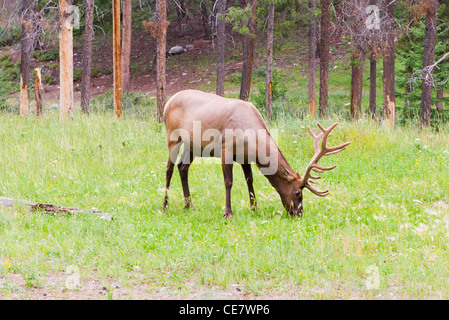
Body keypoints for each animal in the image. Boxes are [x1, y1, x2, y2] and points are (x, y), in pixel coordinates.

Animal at [161, 89, 350, 218]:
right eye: (298, 192)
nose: (299, 213)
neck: (251, 140)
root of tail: (168, 102)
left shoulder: (245, 157)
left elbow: (249, 180)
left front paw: (254, 207)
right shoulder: (226, 150)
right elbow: (228, 182)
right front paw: (228, 212)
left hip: (192, 145)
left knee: (183, 167)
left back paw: (189, 205)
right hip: (173, 137)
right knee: (169, 169)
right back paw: (165, 206)